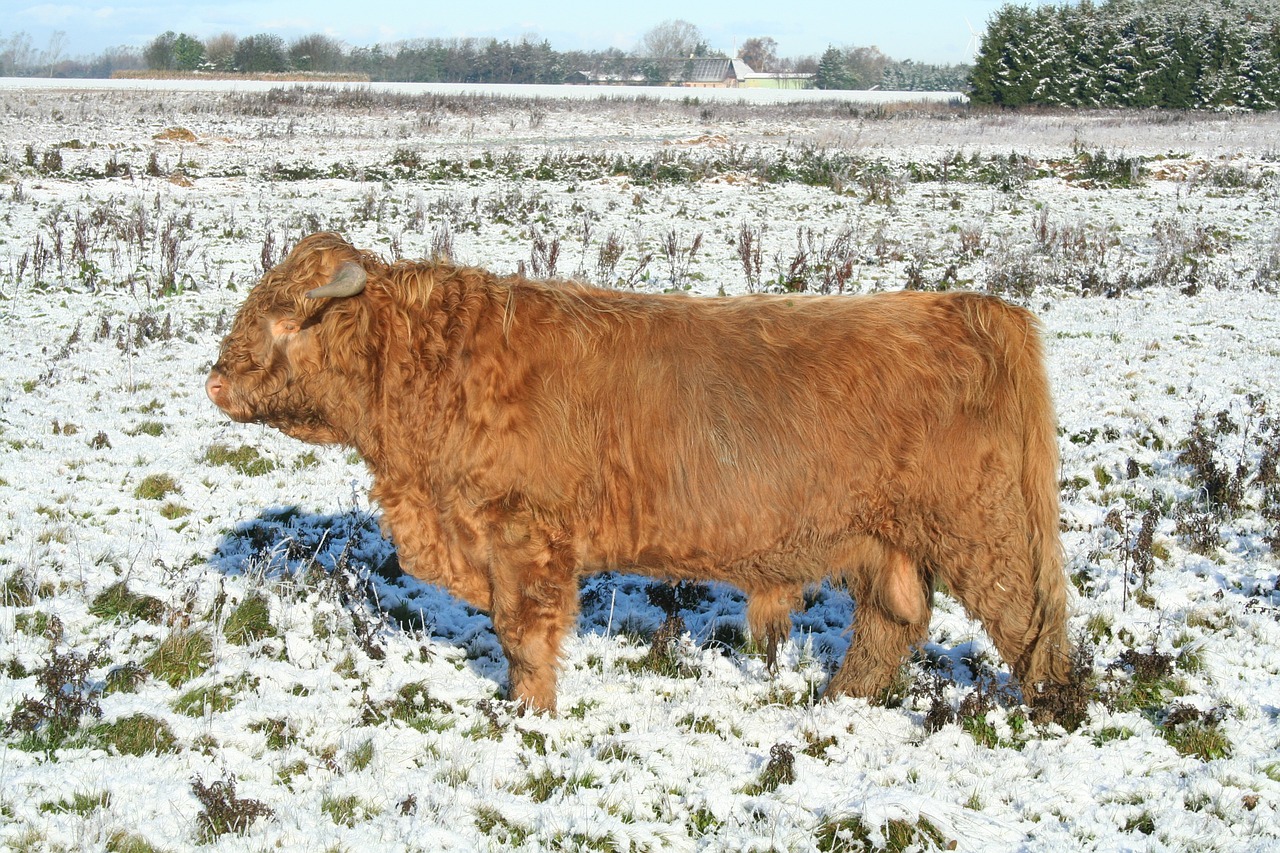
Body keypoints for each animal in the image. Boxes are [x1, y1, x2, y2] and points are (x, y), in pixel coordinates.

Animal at [209, 230, 1070, 712]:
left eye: (284, 319)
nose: (214, 380)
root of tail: (970, 308)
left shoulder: (524, 534)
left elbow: (523, 635)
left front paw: (529, 715)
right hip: (885, 539)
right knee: (892, 621)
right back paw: (835, 705)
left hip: (981, 527)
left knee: (1029, 620)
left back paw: (1054, 709)